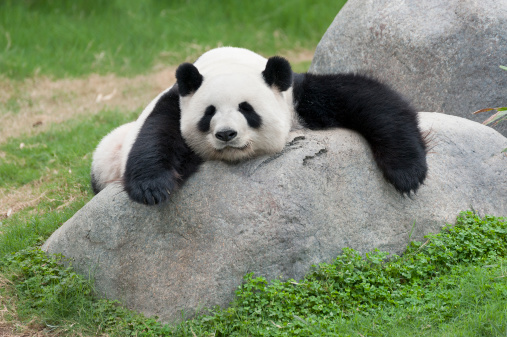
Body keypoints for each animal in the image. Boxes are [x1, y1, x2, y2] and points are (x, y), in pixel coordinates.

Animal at [91, 46, 428, 205]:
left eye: (247, 109)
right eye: (209, 113)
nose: (227, 134)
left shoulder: (297, 97)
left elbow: (370, 99)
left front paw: (407, 173)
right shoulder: (176, 102)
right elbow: (156, 135)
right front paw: (153, 187)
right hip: (107, 156)